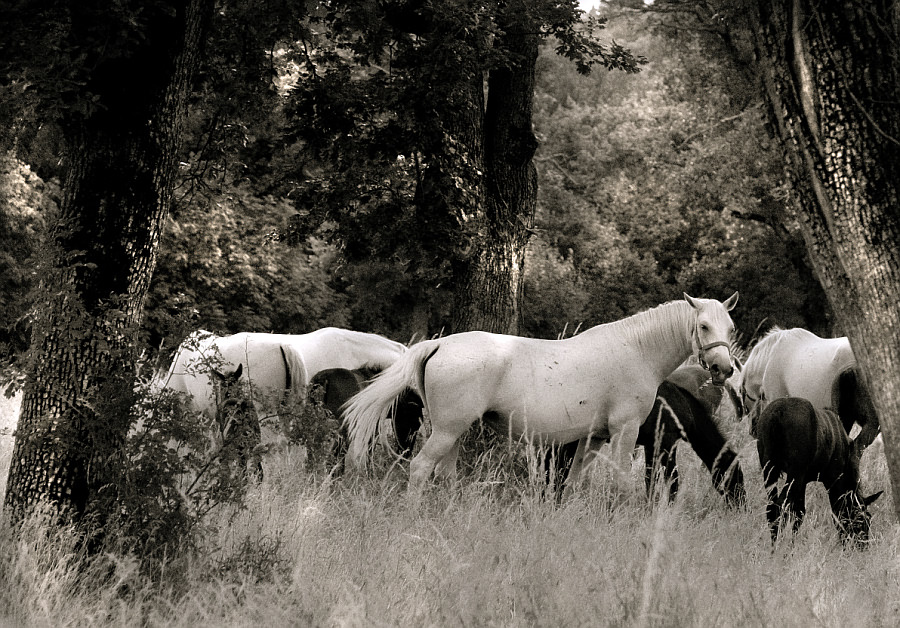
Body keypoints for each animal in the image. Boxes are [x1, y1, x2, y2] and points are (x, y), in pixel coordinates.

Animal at [548, 366, 744, 502]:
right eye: (736, 474)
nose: (741, 503)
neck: (683, 405)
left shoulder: (652, 445)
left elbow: (650, 480)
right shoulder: (667, 442)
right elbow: (672, 480)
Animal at [756, 400, 884, 548]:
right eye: (862, 519)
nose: (862, 546)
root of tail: (776, 415)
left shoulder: (804, 480)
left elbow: (798, 512)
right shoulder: (830, 478)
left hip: (769, 465)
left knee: (771, 508)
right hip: (795, 471)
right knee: (779, 506)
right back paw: (777, 546)